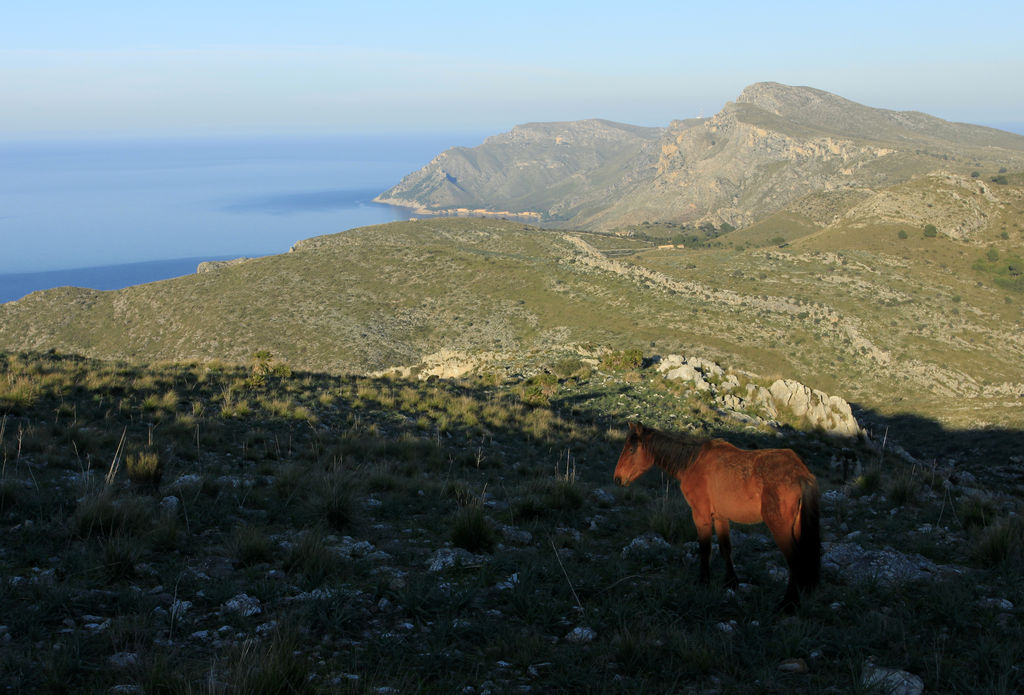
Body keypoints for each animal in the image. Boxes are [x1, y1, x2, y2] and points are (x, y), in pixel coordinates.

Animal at [610, 421, 819, 610]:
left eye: (631, 450)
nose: (617, 479)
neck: (692, 462)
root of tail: (801, 474)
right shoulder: (720, 517)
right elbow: (726, 549)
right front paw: (731, 583)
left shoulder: (700, 515)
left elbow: (705, 549)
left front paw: (703, 581)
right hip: (796, 528)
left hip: (780, 528)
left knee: (795, 561)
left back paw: (788, 604)